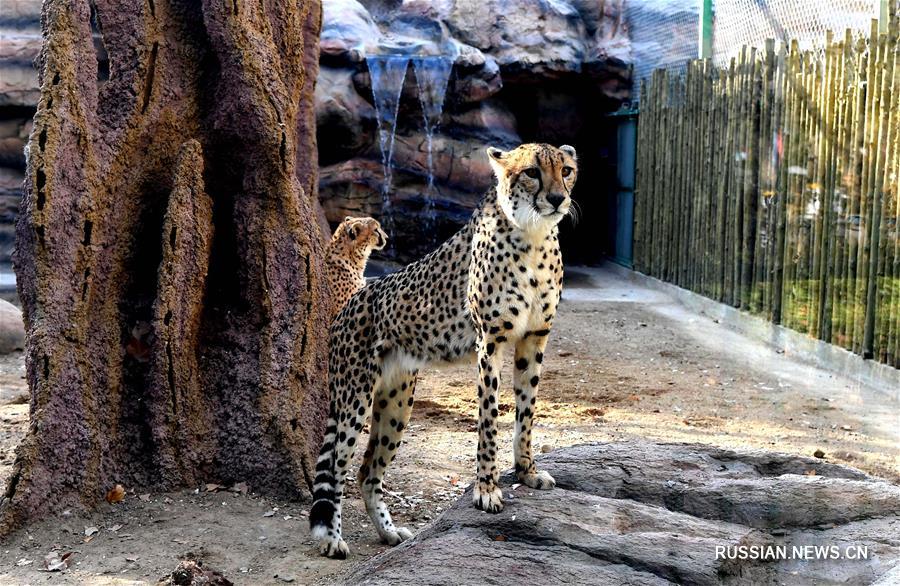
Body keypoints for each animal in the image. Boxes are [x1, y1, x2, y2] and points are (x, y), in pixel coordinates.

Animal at [310, 143, 576, 556]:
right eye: (532, 172)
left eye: (566, 170)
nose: (557, 198)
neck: (533, 235)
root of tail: (347, 308)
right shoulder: (490, 341)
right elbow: (489, 419)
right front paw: (487, 489)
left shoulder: (534, 337)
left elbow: (527, 413)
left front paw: (527, 471)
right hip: (353, 399)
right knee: (338, 466)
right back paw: (333, 539)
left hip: (397, 402)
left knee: (368, 470)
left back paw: (389, 533)